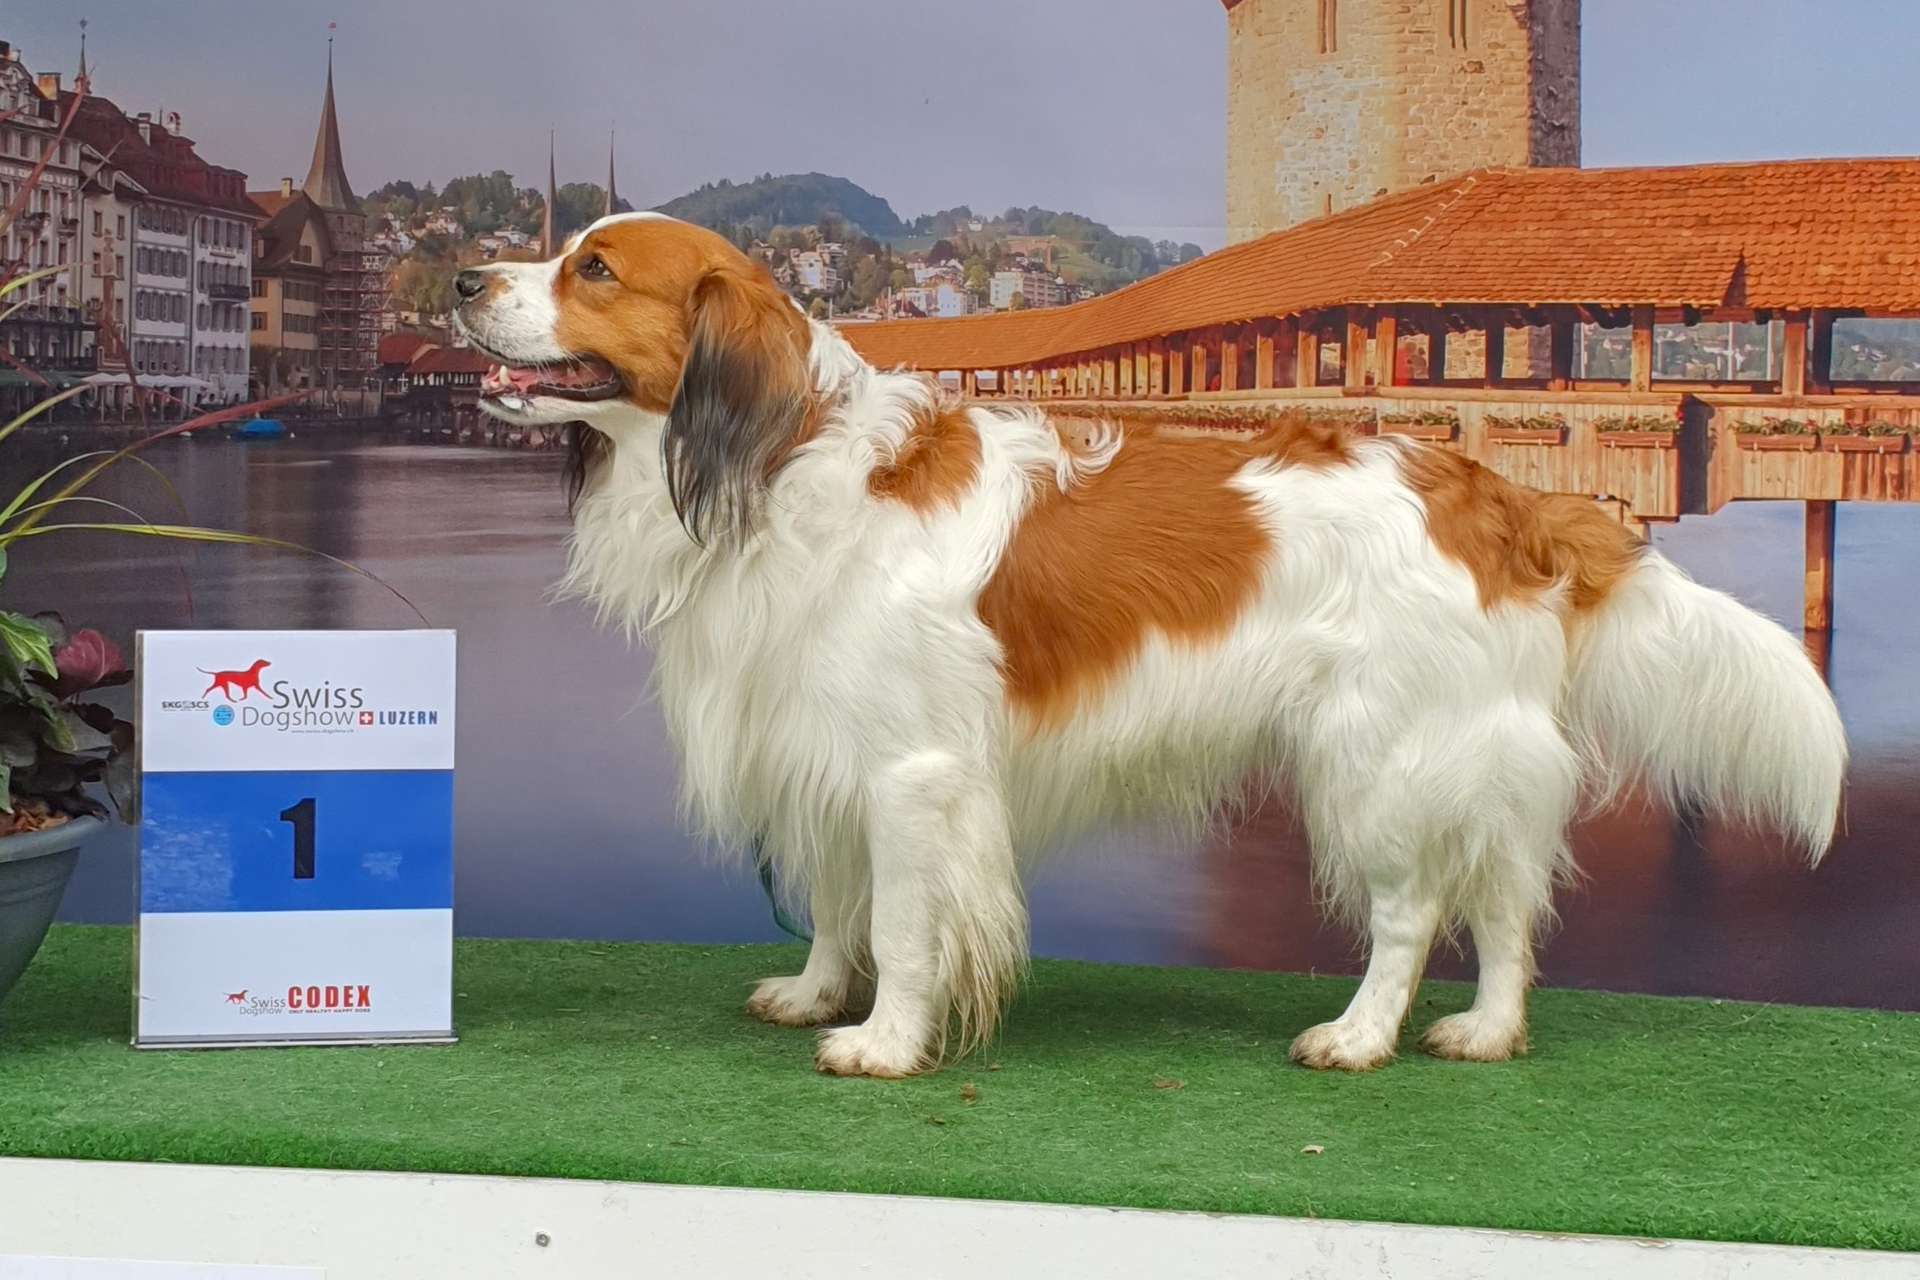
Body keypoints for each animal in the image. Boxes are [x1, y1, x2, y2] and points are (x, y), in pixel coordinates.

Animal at [456, 217, 1850, 1082]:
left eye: (592, 267)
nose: (466, 281)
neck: (787, 457)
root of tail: (1491, 488)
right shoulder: (834, 751)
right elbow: (841, 903)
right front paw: (816, 990)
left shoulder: (914, 772)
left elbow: (901, 923)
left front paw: (886, 1042)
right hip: (1473, 755)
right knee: (1507, 902)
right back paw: (1485, 1032)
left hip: (1380, 761)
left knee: (1414, 911)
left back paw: (1360, 1035)